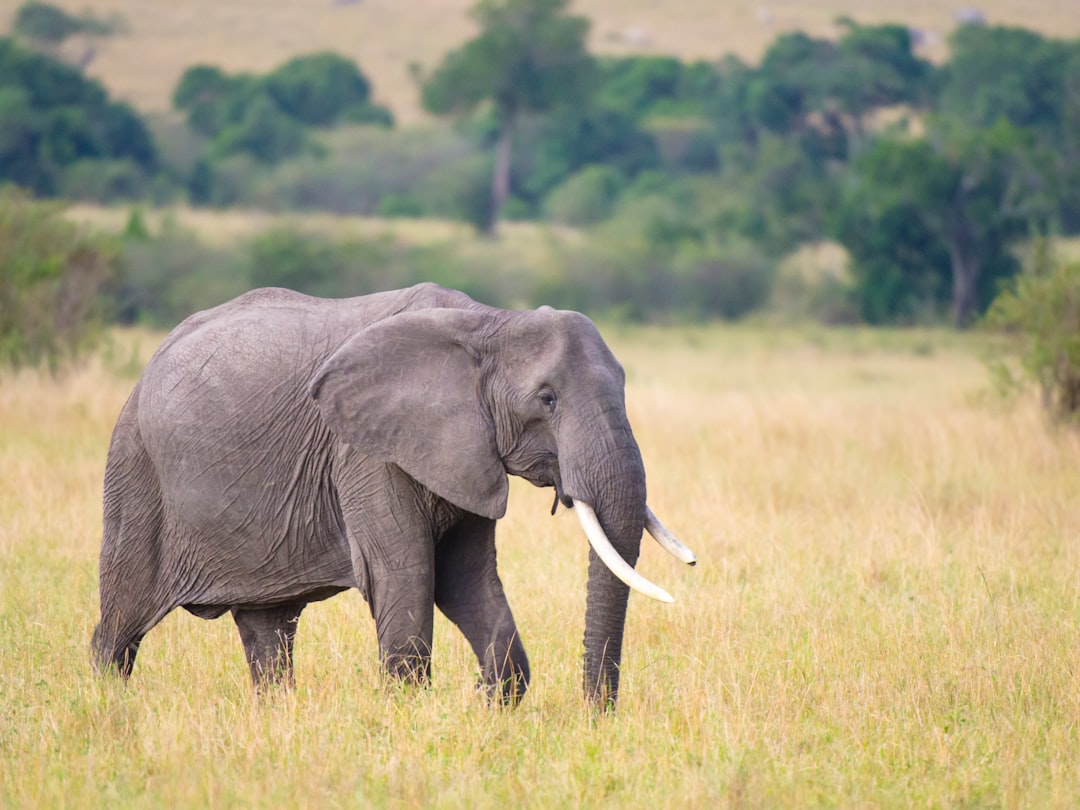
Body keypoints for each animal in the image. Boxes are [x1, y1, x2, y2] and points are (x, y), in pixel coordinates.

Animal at [91, 283, 695, 707]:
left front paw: (488, 705)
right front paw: (413, 715)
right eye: (546, 399)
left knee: (269, 630)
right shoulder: (364, 452)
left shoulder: (467, 452)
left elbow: (466, 580)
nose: (596, 716)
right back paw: (106, 707)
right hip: (135, 470)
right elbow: (407, 573)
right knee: (121, 625)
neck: (488, 323)